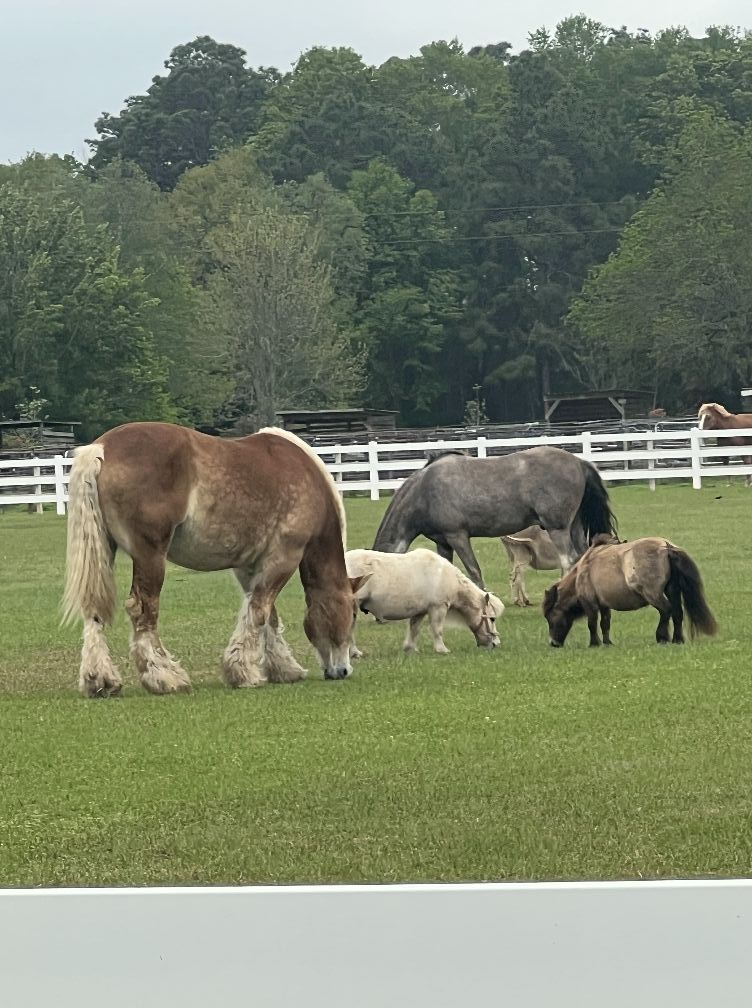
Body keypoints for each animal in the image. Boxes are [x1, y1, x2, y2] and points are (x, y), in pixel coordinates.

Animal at [62, 422, 367, 698]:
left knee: (94, 610)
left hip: (103, 552)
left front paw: (282, 668)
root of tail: (102, 448)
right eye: (352, 614)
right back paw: (165, 677)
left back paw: (101, 680)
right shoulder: (283, 558)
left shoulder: (250, 566)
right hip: (150, 557)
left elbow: (265, 615)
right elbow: (259, 611)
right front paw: (243, 672)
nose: (343, 670)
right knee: (143, 612)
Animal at [345, 548, 503, 655]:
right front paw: (442, 649)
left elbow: (414, 629)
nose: (496, 644)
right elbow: (437, 629)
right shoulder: (438, 607)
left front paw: (410, 648)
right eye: (492, 619)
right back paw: (354, 653)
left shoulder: (419, 611)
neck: (445, 575)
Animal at [372, 446, 617, 589]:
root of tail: (579, 462)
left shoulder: (457, 536)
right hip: (574, 526)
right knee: (582, 555)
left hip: (557, 528)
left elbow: (474, 571)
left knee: (568, 559)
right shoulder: (443, 543)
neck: (424, 490)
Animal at [543, 535, 718, 648]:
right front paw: (607, 643)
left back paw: (662, 637)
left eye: (550, 617)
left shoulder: (590, 602)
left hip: (653, 594)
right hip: (672, 590)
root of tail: (666, 547)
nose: (554, 643)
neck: (582, 571)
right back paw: (677, 639)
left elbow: (592, 623)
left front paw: (594, 644)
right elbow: (605, 623)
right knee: (677, 613)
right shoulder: (604, 604)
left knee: (666, 610)